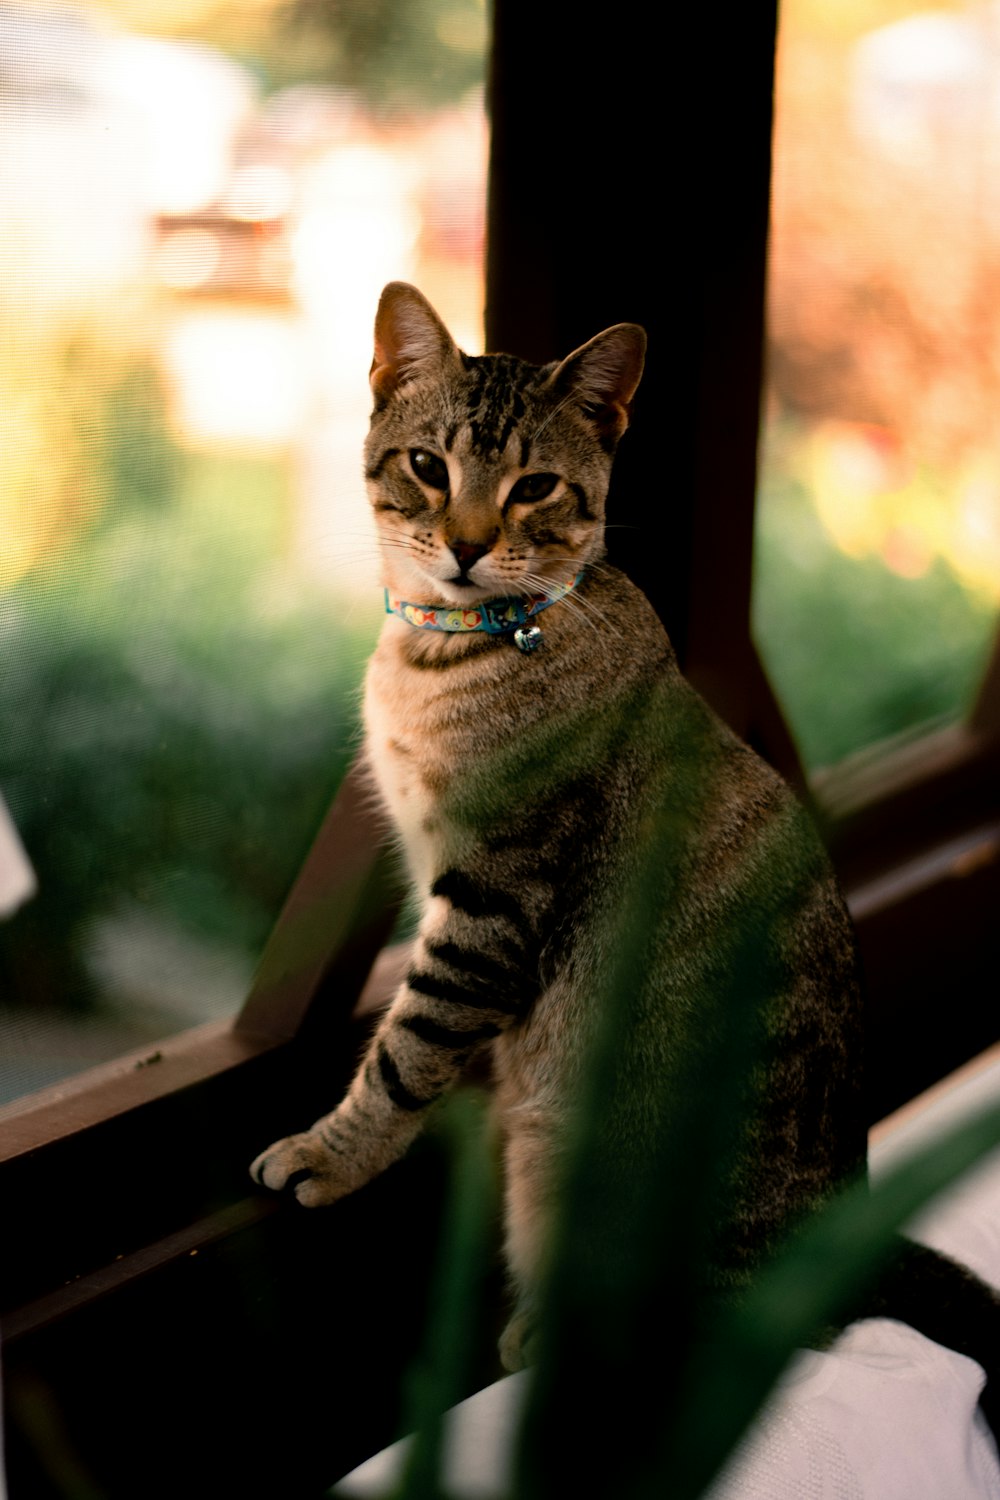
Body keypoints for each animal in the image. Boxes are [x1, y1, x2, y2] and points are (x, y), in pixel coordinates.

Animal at [250, 283, 1000, 1392]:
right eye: (429, 466)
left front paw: (331, 1153)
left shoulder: (490, 905)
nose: (466, 543)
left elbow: (403, 1054)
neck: (450, 651)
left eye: (534, 487)